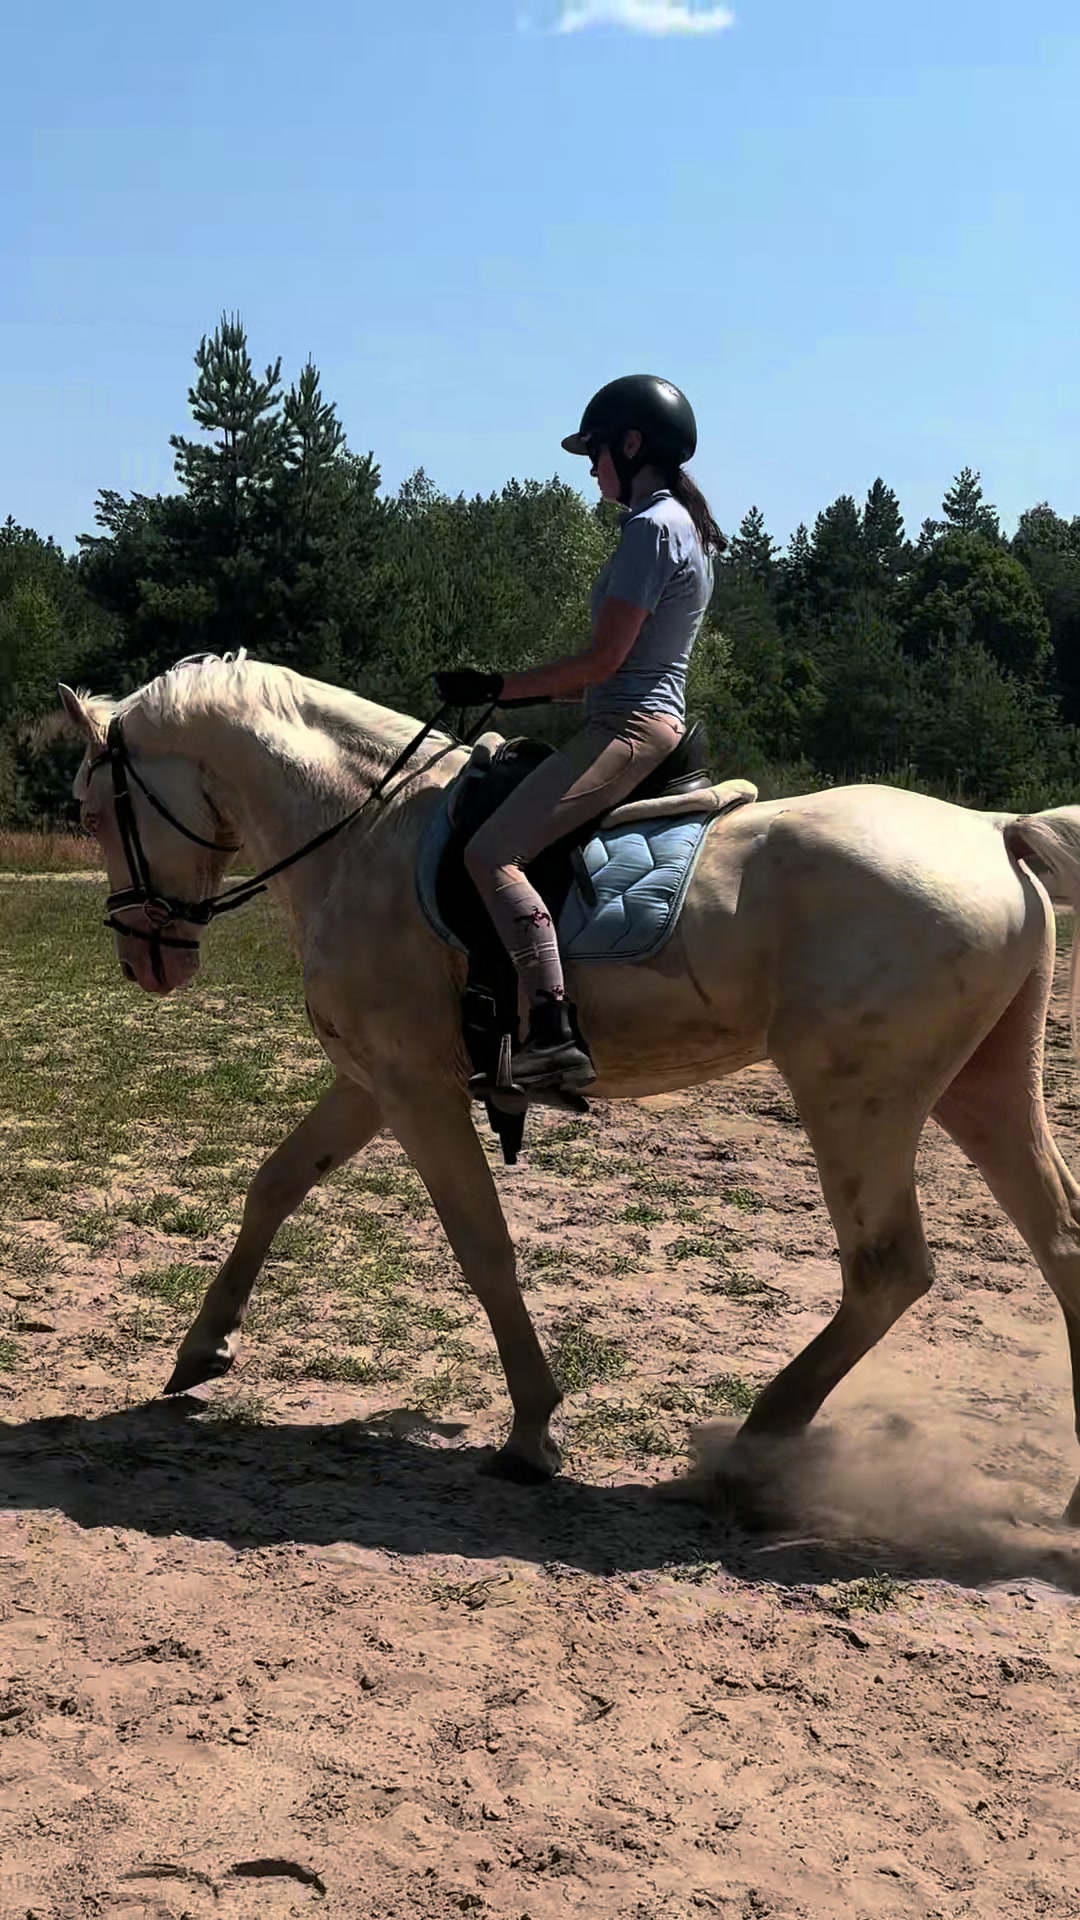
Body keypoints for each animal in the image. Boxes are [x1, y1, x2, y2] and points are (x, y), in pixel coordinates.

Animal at [57, 654, 1080, 1517]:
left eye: (94, 812)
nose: (145, 962)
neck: (363, 836)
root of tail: (993, 831)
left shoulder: (416, 1088)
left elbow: (483, 1248)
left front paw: (532, 1431)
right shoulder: (370, 1081)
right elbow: (275, 1184)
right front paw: (203, 1348)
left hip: (856, 1098)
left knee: (887, 1269)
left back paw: (751, 1449)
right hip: (982, 1087)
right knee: (1061, 1243)